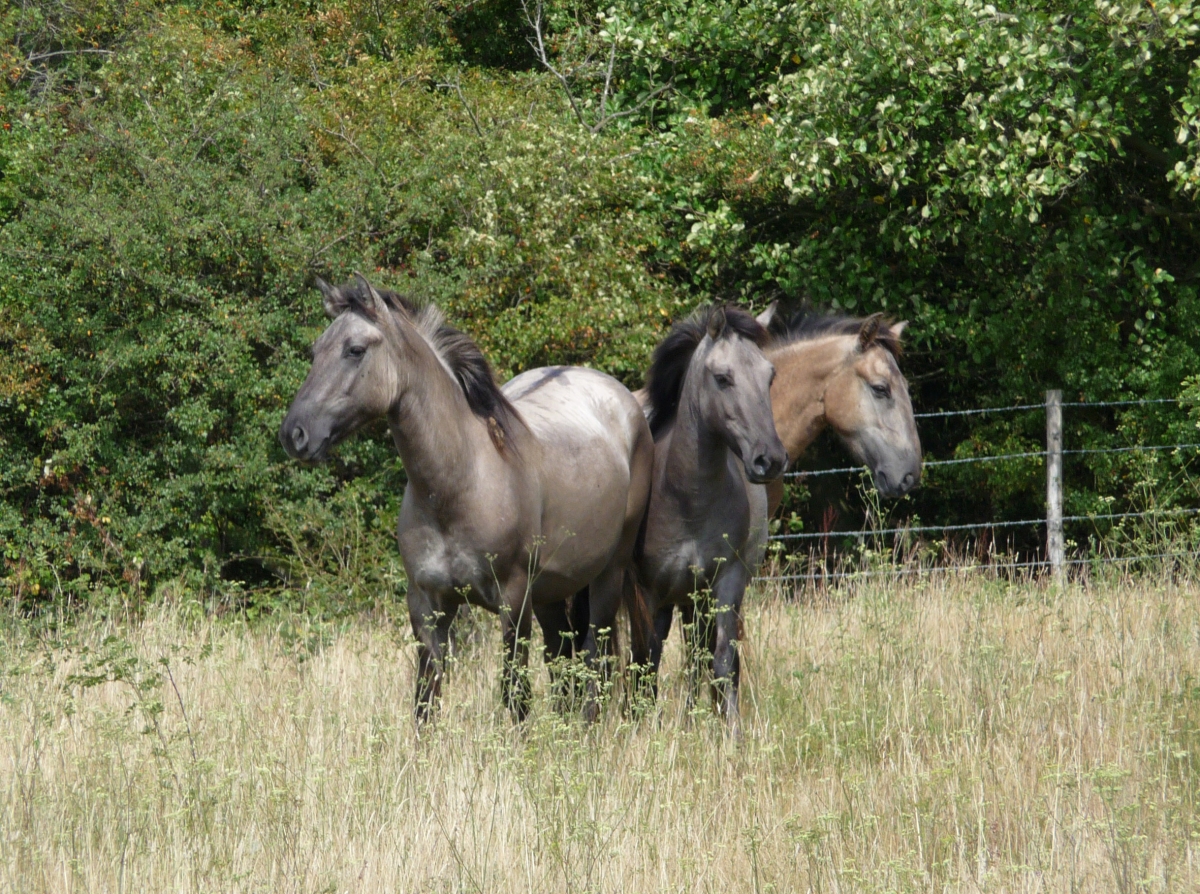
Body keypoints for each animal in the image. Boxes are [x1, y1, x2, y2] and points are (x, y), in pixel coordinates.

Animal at [279, 274, 653, 722]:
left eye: (355, 350)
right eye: (315, 351)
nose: (295, 434)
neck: (458, 486)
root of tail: (625, 401)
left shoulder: (513, 604)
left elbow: (515, 696)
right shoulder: (428, 606)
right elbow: (426, 702)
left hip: (608, 575)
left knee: (596, 658)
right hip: (552, 589)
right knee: (563, 660)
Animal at [629, 305, 787, 727]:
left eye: (770, 375)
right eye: (722, 378)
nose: (769, 459)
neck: (686, 499)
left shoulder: (726, 584)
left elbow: (722, 662)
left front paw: (731, 732)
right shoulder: (649, 592)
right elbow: (647, 660)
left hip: (696, 599)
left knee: (697, 656)